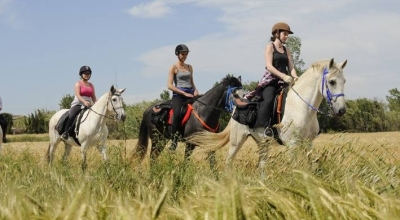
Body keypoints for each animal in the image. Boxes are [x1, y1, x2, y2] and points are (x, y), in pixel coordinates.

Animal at [188, 58, 346, 174]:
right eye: (332, 82)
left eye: (344, 81)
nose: (341, 110)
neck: (302, 106)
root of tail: (235, 108)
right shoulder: (292, 145)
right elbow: (296, 169)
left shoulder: (308, 143)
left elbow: (313, 165)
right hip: (236, 142)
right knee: (229, 162)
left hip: (262, 143)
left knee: (262, 166)